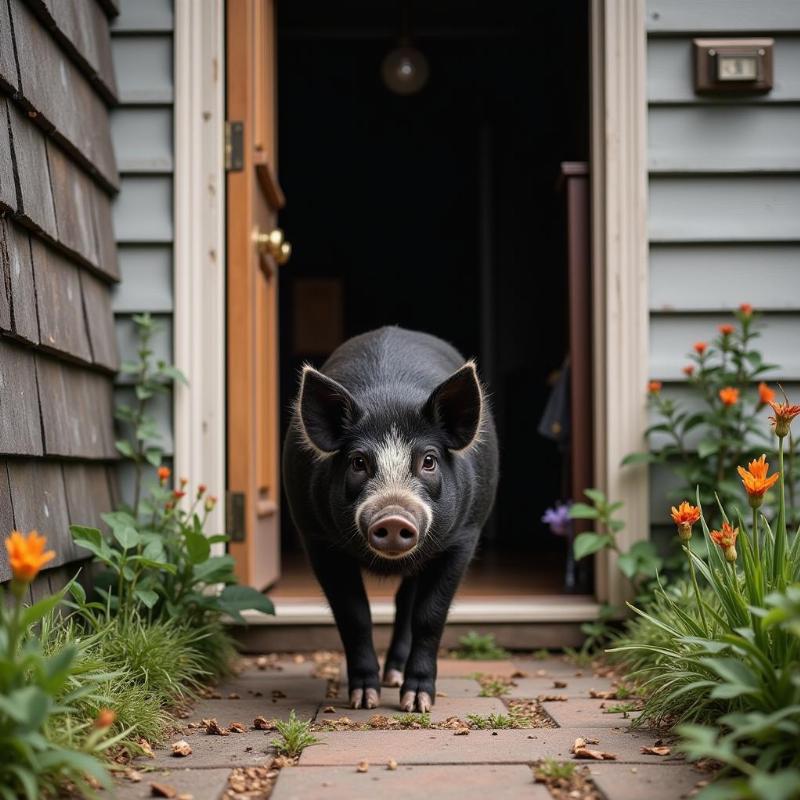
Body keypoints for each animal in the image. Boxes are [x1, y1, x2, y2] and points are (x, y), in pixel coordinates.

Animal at [280, 328, 494, 708]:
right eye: (358, 462)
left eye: (429, 460)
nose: (394, 517)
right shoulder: (317, 538)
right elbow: (355, 615)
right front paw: (364, 700)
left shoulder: (465, 537)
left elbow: (429, 616)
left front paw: (417, 704)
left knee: (405, 605)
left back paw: (395, 679)